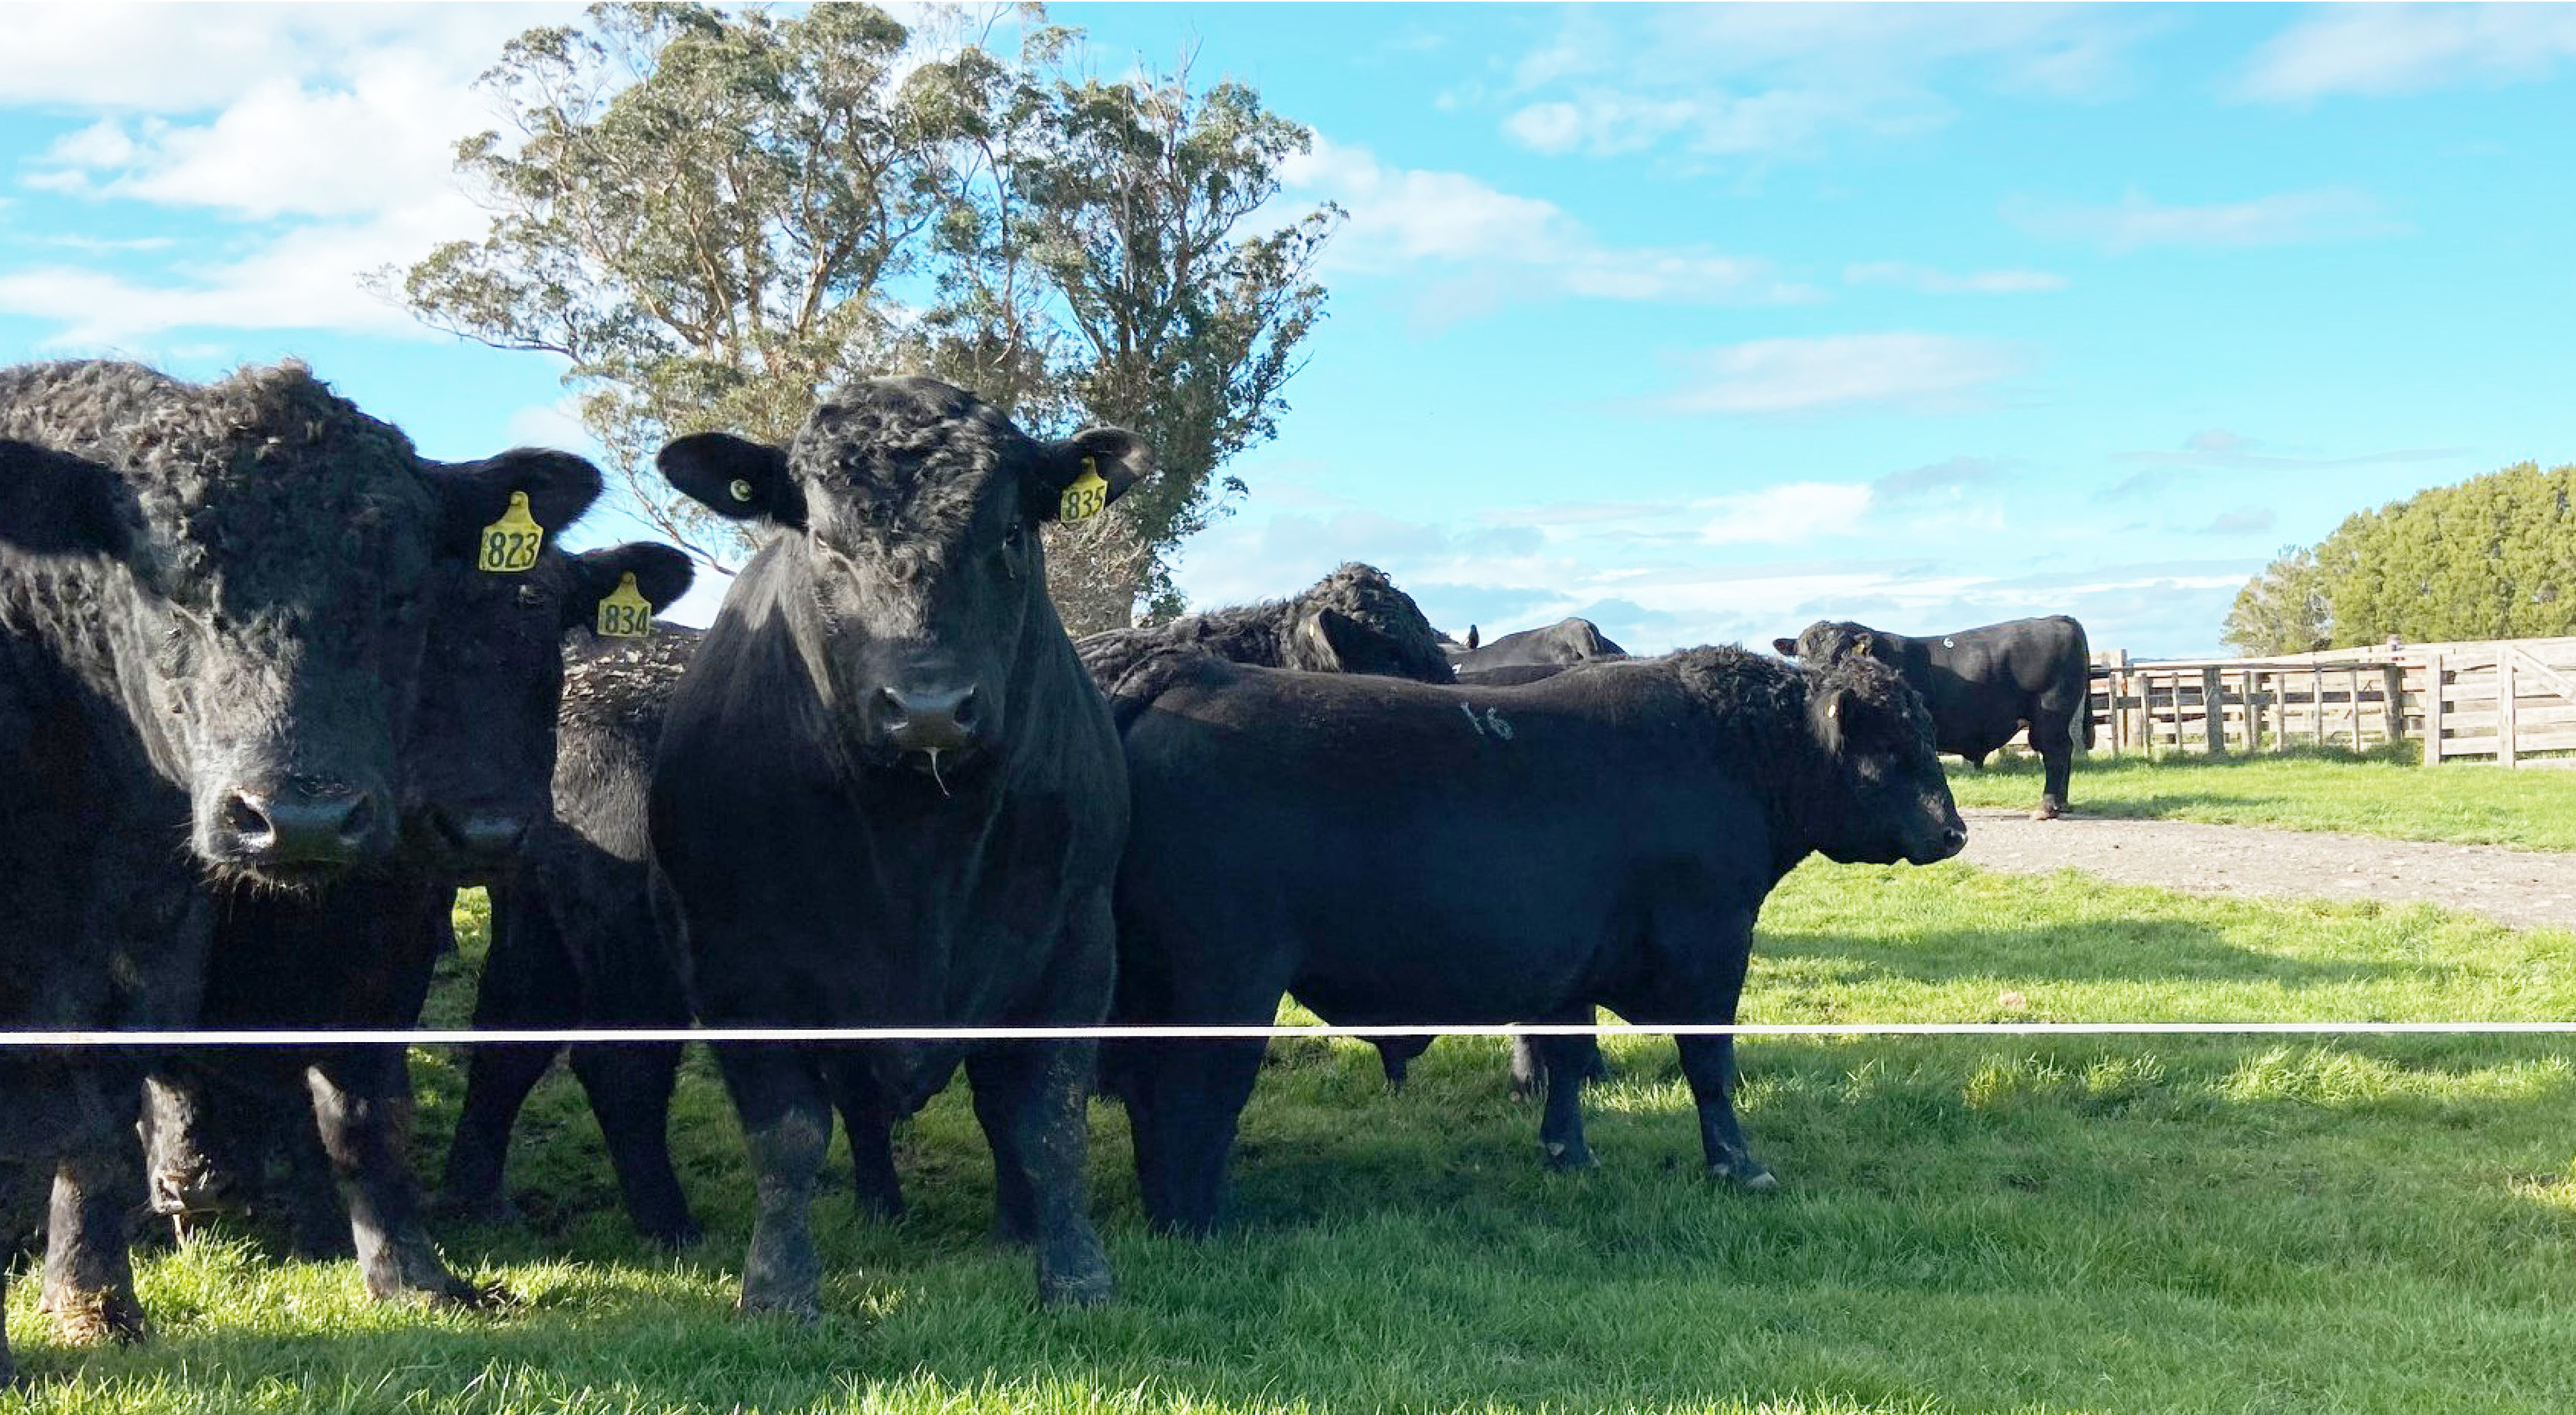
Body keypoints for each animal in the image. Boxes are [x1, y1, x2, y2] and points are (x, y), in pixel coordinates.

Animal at [644, 379, 1149, 1314]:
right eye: (819, 537)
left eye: (1011, 530)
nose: (927, 707)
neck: (922, 843)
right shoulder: (732, 963)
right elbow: (790, 1131)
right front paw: (779, 1290)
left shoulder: (1076, 941)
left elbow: (1049, 1122)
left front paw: (1075, 1273)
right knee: (857, 1105)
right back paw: (880, 1205)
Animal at [1097, 644, 1958, 1232]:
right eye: (1893, 749)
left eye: (1926, 736)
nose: (1953, 832)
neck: (1729, 754)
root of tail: (1192, 671)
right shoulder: (1708, 954)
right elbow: (1709, 1068)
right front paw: (1739, 1166)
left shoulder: (1567, 972)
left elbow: (1566, 1062)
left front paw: (1566, 1152)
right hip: (1220, 979)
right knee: (1185, 1087)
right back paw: (1198, 1219)